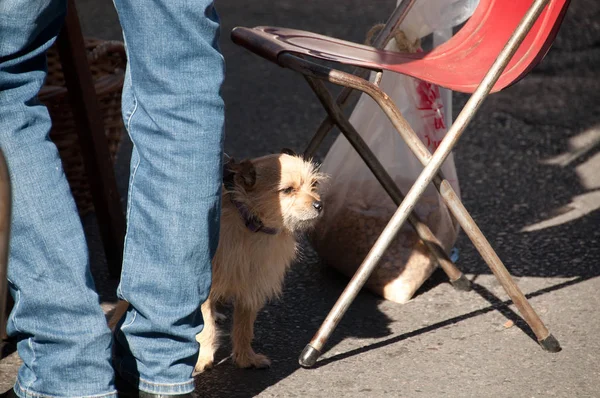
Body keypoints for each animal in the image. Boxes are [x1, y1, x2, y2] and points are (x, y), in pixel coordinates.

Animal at [108, 150, 324, 374]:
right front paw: (203, 356)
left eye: (314, 184)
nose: (319, 205)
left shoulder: (251, 286)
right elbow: (206, 327)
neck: (249, 225)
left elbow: (244, 326)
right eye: (288, 190)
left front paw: (245, 357)